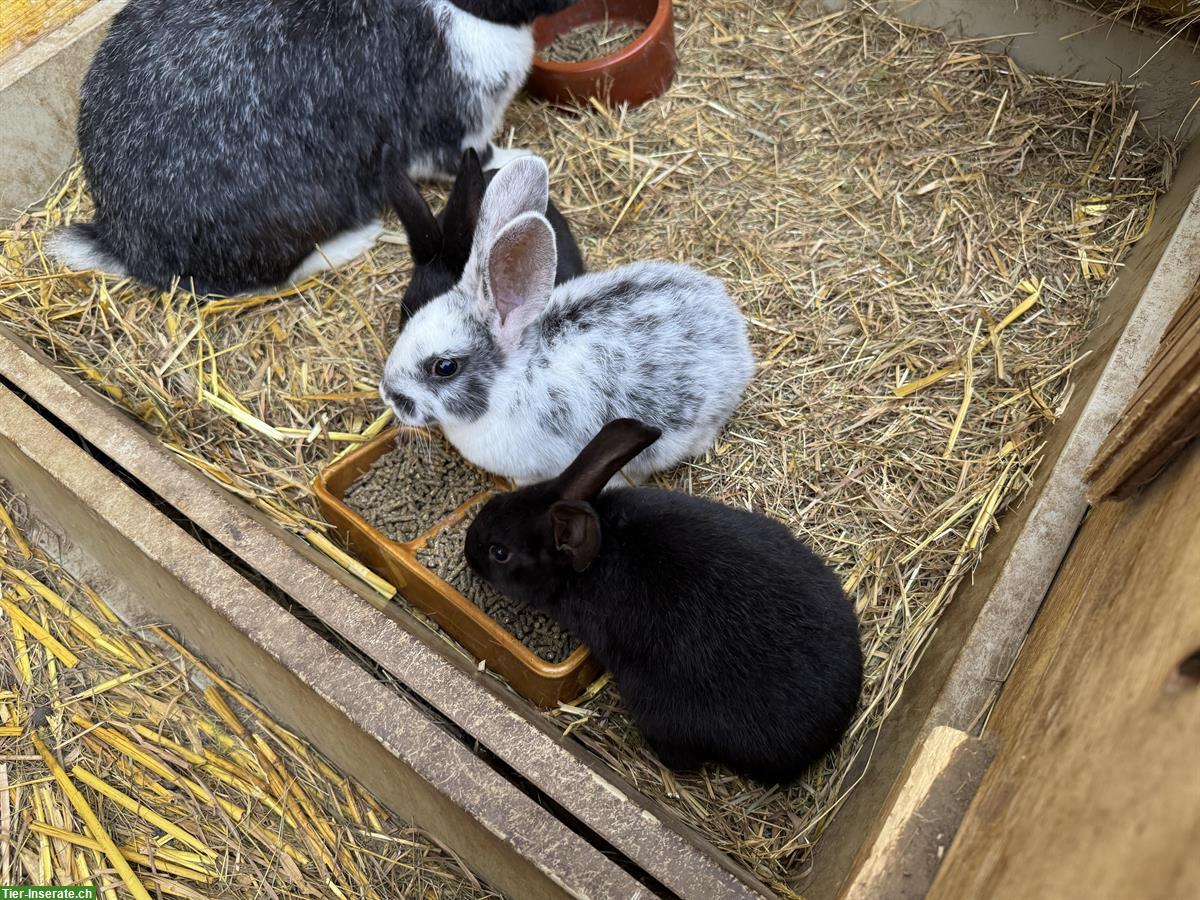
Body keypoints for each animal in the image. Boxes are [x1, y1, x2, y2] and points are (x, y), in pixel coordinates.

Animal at [44, 0, 573, 296]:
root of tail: (120, 240)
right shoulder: (452, 114)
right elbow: (466, 154)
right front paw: (522, 161)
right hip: (296, 211)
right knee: (269, 278)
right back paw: (354, 241)